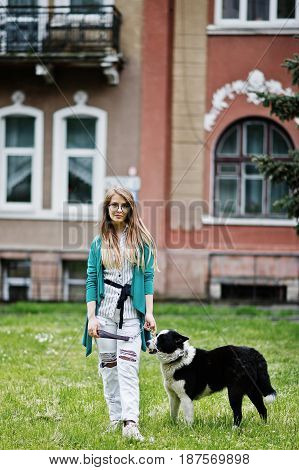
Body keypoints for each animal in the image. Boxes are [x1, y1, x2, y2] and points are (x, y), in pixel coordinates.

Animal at [147, 330, 276, 426]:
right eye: (156, 335)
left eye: (161, 339)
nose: (147, 342)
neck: (178, 358)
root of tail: (255, 354)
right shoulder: (173, 396)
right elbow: (173, 414)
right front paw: (174, 426)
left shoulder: (185, 397)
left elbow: (188, 418)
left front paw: (187, 431)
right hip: (252, 390)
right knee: (262, 409)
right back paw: (264, 426)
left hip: (234, 391)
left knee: (238, 413)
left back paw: (234, 430)